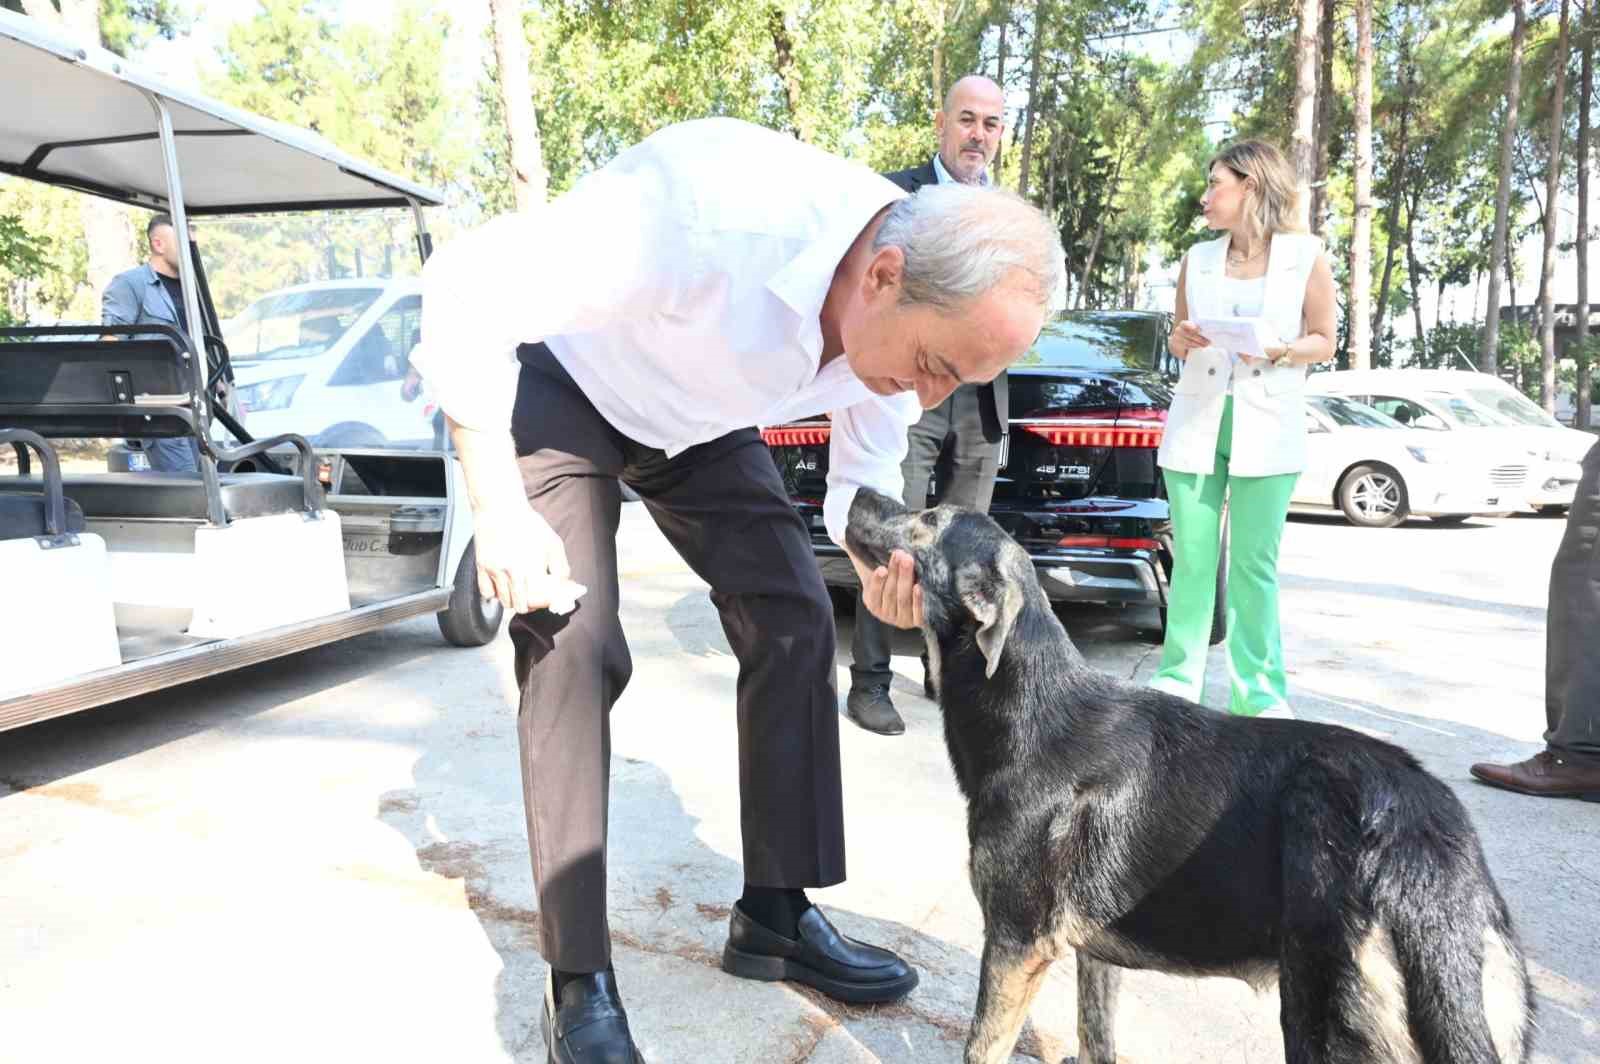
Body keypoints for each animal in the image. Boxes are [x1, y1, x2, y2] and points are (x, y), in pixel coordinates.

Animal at [844, 489, 1529, 1062]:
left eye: (931, 518)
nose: (856, 492)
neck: (1031, 712)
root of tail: (1423, 842)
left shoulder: (1018, 944)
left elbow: (981, 1048)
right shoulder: (1094, 955)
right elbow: (1097, 1041)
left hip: (1323, 1014)